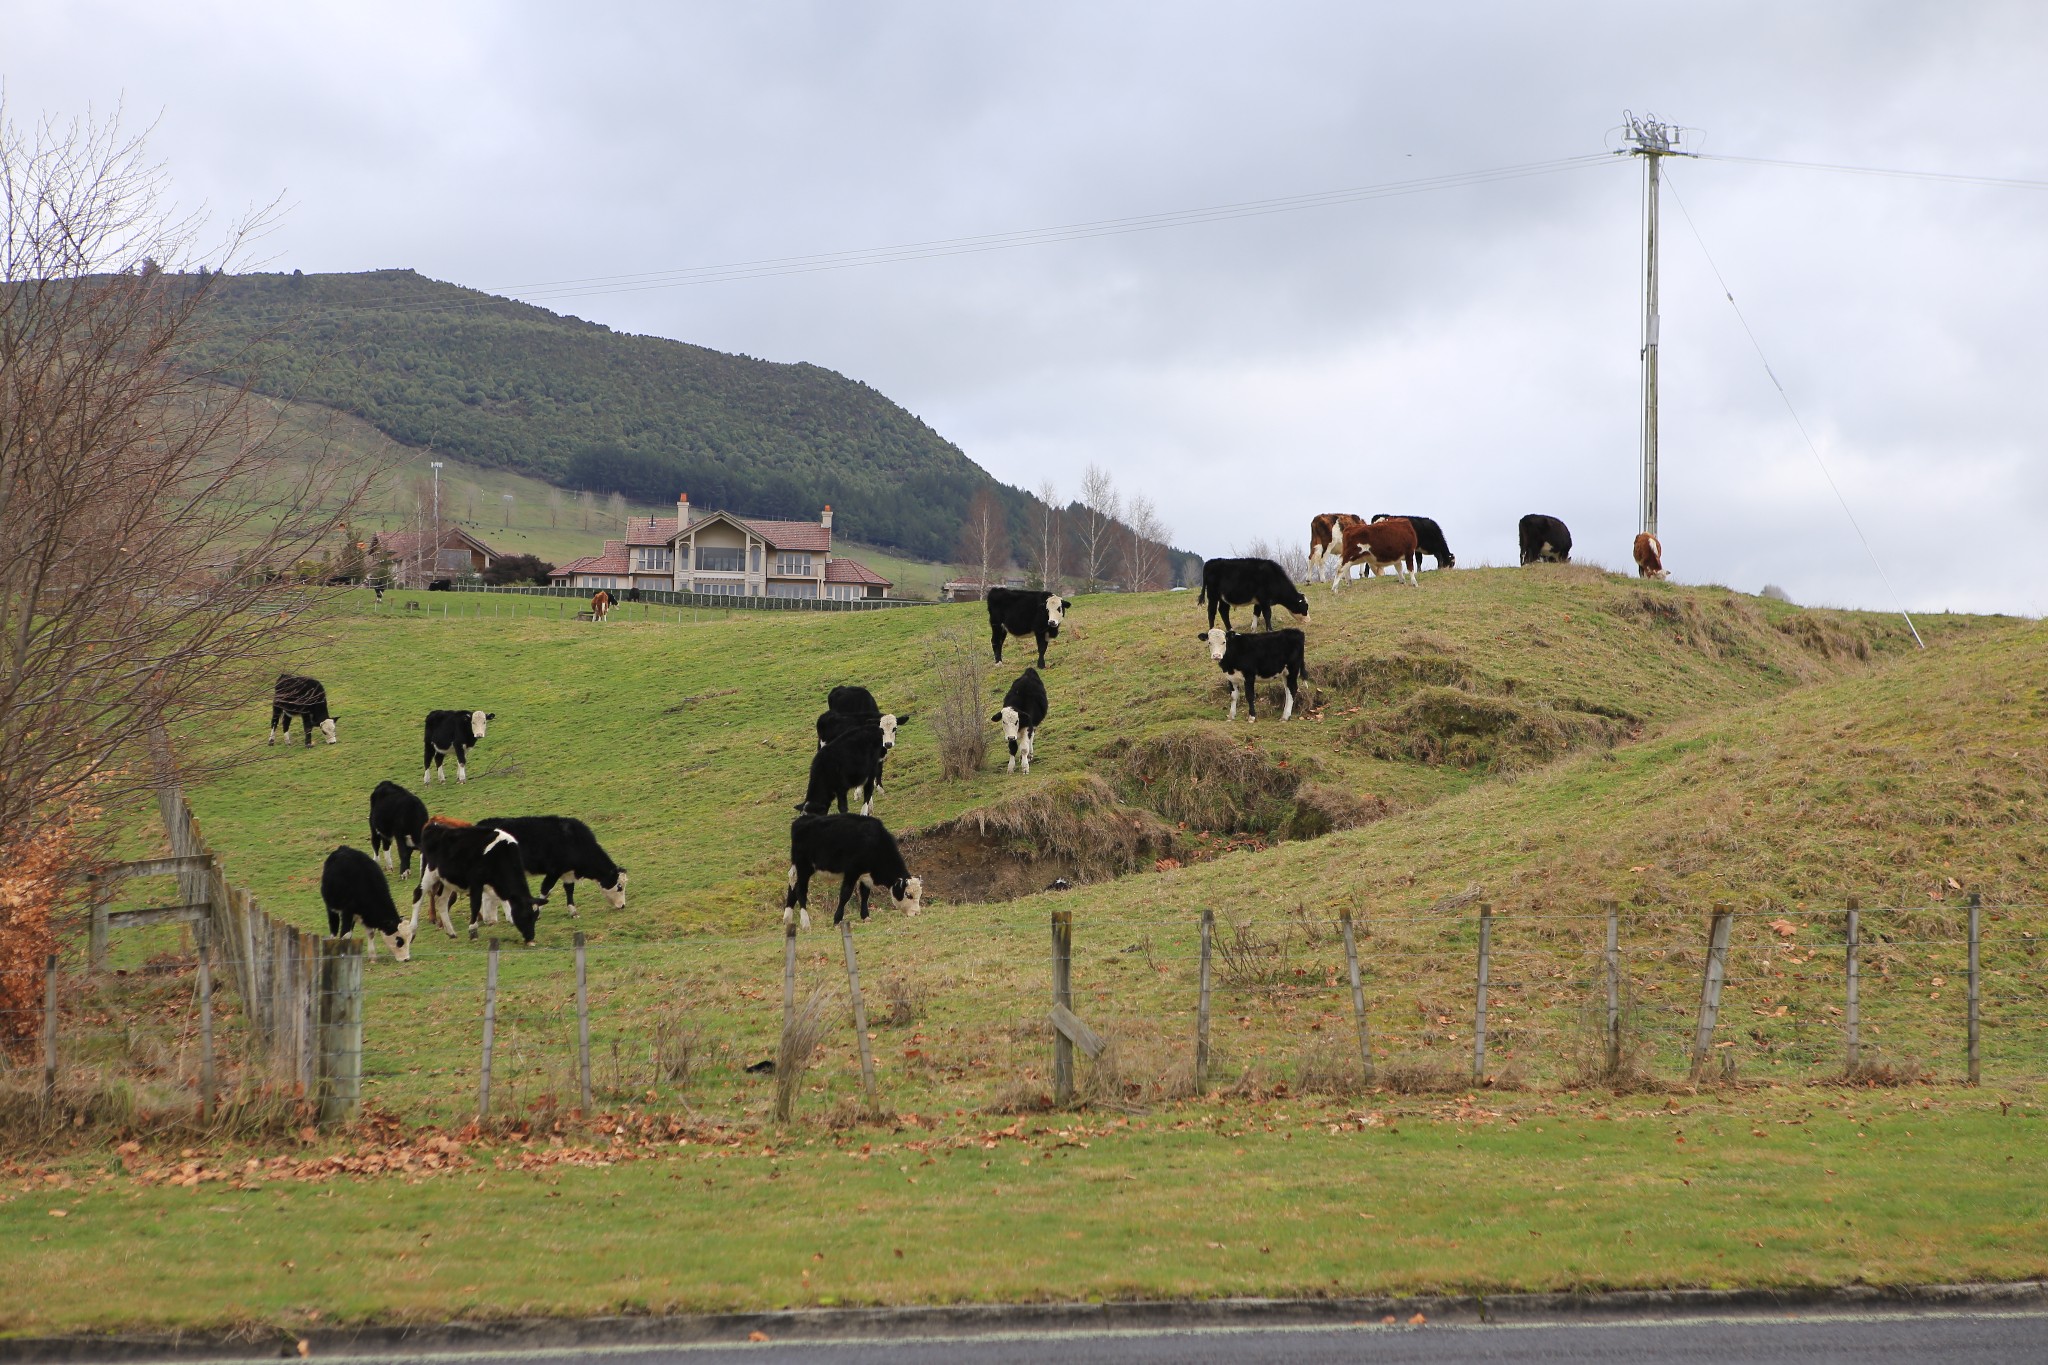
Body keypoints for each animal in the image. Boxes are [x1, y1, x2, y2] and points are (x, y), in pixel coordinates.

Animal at [409, 818, 544, 945]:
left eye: (534, 917)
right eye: (525, 915)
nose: (530, 937)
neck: (500, 853)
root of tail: (434, 826)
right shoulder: (476, 882)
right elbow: (476, 904)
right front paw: (473, 931)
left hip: (446, 879)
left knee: (441, 900)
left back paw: (451, 932)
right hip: (429, 873)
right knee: (418, 894)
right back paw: (412, 930)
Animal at [475, 818, 626, 912]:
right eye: (619, 886)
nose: (623, 905)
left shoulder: (567, 872)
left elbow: (569, 889)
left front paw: (573, 910)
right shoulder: (554, 872)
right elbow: (546, 890)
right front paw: (537, 911)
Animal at [778, 818, 925, 933]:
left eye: (919, 894)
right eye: (908, 895)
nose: (917, 913)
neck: (874, 842)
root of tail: (800, 821)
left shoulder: (865, 875)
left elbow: (865, 894)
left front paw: (865, 917)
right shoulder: (852, 871)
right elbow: (845, 894)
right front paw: (837, 920)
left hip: (798, 868)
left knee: (792, 886)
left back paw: (787, 919)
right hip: (804, 867)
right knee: (800, 891)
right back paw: (805, 923)